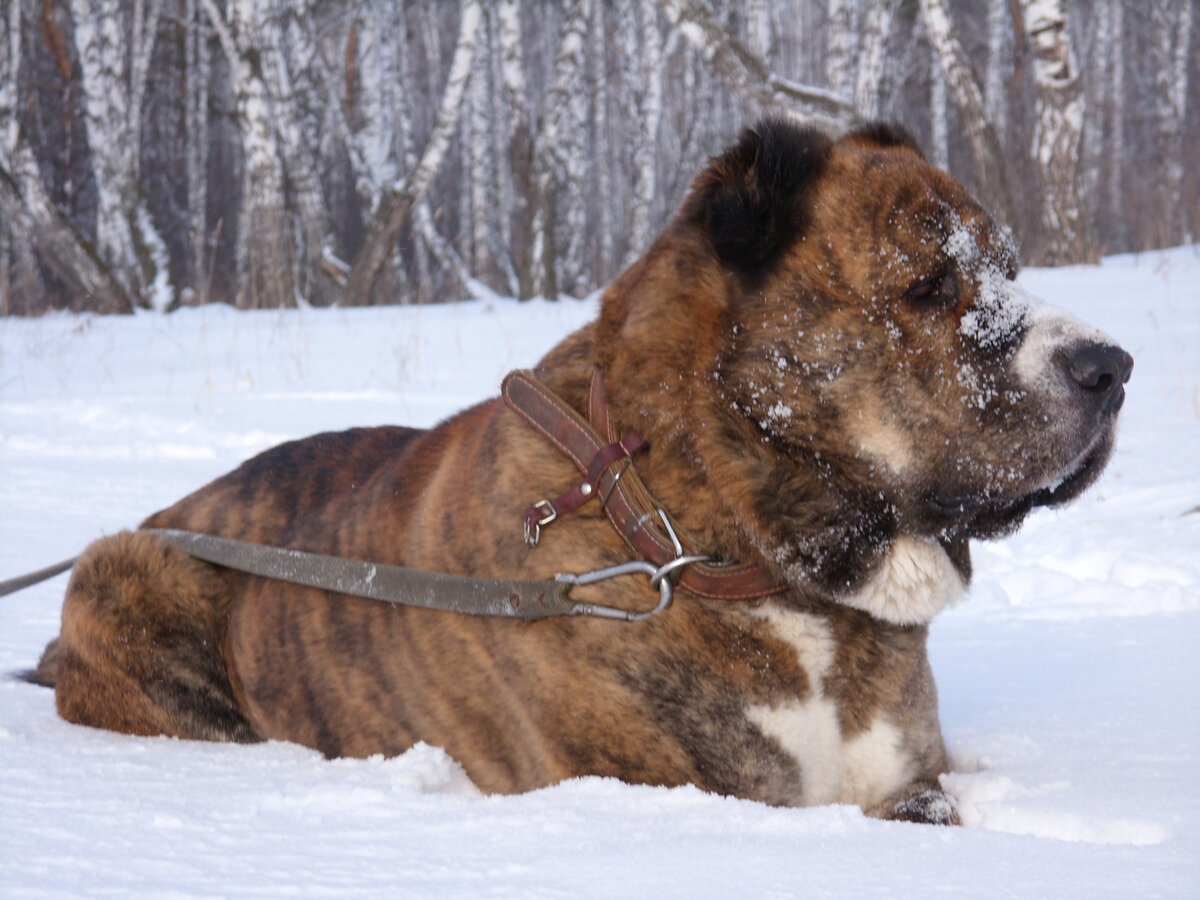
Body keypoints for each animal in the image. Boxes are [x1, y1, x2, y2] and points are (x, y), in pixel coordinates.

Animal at [32, 120, 1128, 825]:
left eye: (1012, 270)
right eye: (929, 287)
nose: (1112, 367)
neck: (700, 532)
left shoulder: (914, 781)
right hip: (127, 567)